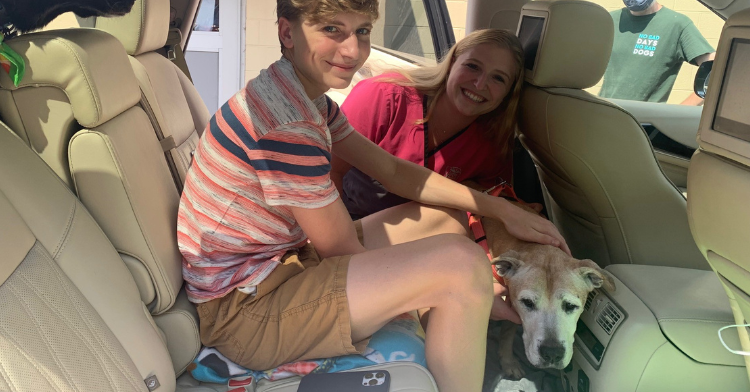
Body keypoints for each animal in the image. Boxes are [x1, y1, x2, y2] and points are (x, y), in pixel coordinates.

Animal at [484, 202, 612, 376]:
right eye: (528, 303)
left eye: (570, 306)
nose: (552, 354)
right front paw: (508, 363)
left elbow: (507, 333)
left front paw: (508, 362)